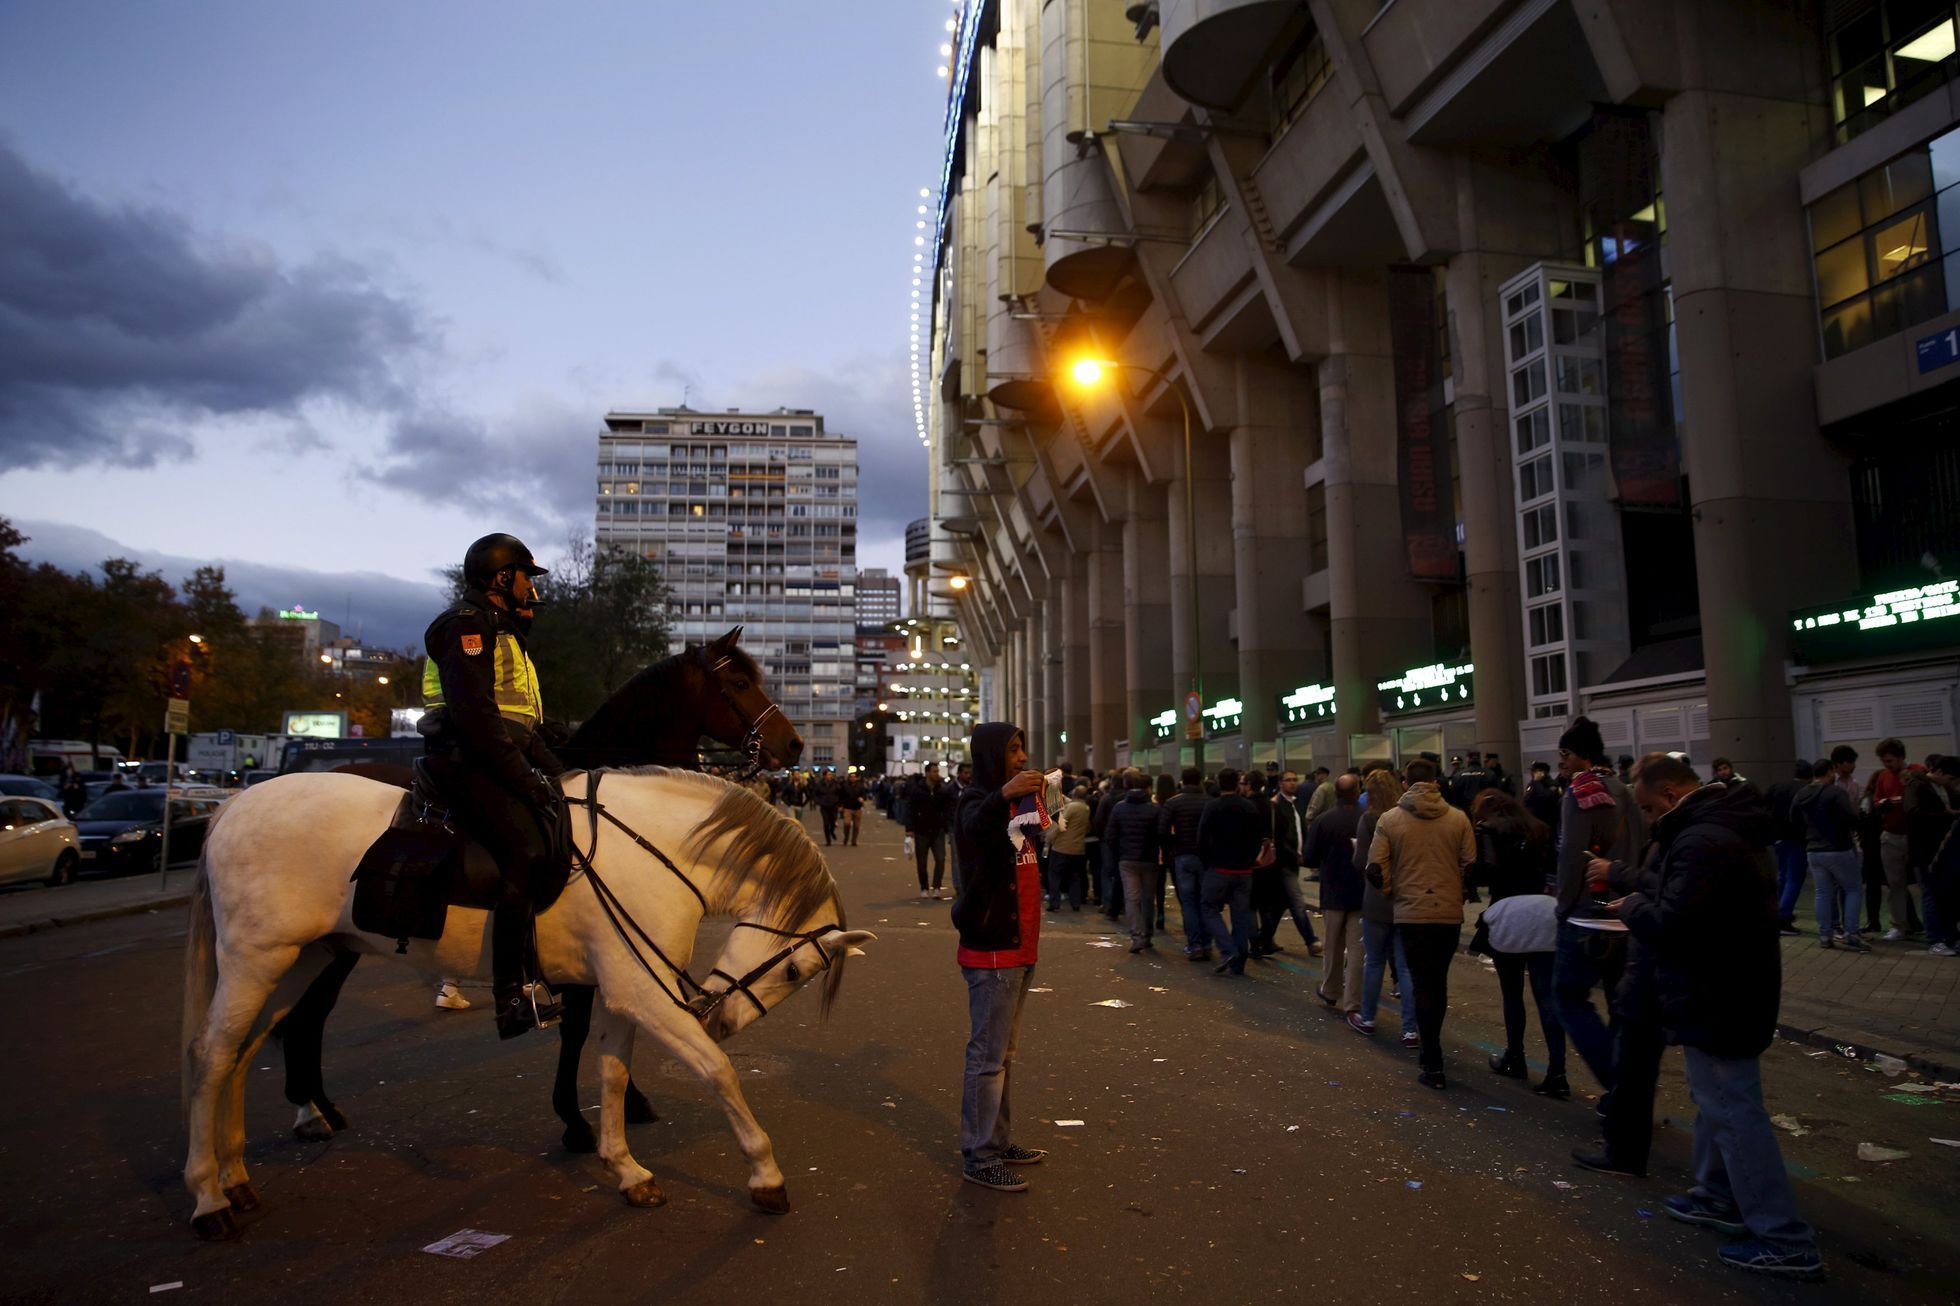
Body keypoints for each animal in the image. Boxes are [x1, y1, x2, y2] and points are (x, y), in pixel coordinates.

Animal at [182, 768, 874, 1239]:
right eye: (795, 968)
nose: (723, 1019)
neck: (656, 850)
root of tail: (234, 803)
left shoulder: (623, 992)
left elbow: (612, 1076)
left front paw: (626, 1169)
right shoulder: (645, 993)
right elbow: (716, 1071)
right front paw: (766, 1175)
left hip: (299, 961)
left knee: (242, 1053)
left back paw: (237, 1177)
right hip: (257, 960)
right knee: (213, 1056)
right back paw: (209, 1198)